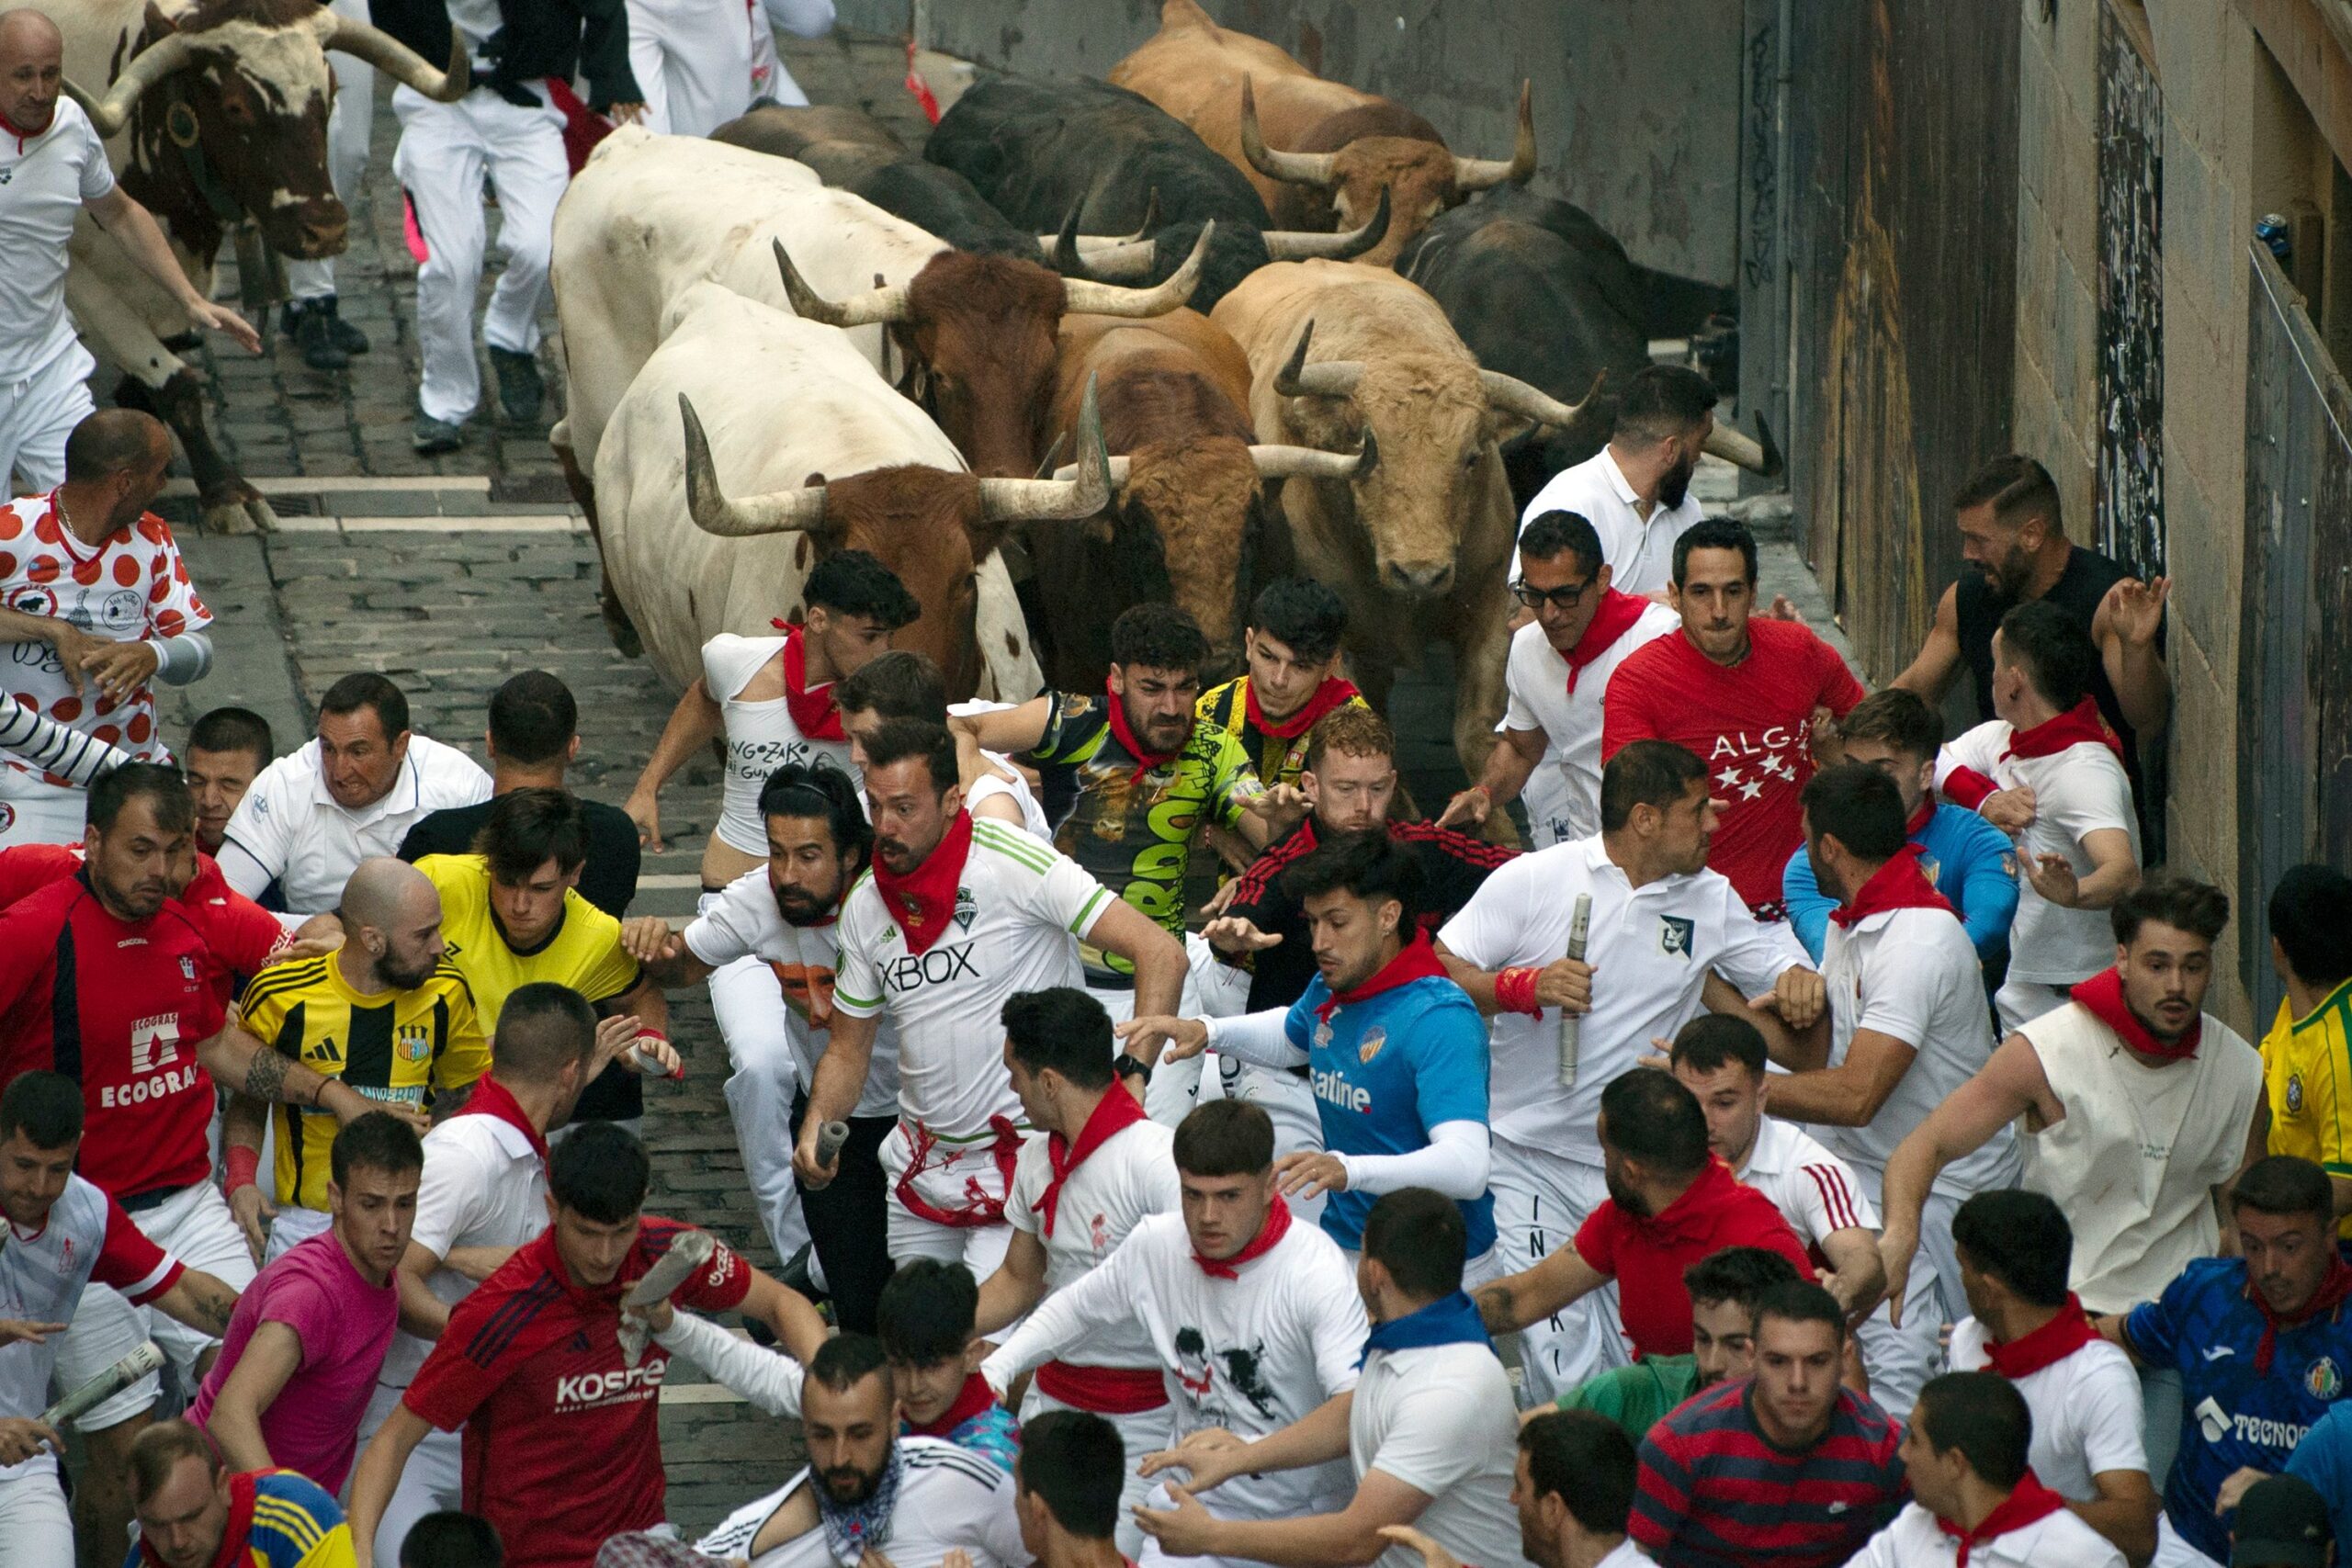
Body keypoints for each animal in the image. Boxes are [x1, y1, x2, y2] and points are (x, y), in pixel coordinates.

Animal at [53, 0, 467, 532]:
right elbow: (173, 380)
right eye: (235, 107)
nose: (324, 230)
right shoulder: (77, 272)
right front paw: (225, 489)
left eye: (331, 94)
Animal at [549, 127, 1202, 652]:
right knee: (575, 454)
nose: (1019, 529)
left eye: (1047, 369)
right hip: (596, 400)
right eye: (942, 376)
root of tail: (624, 142)